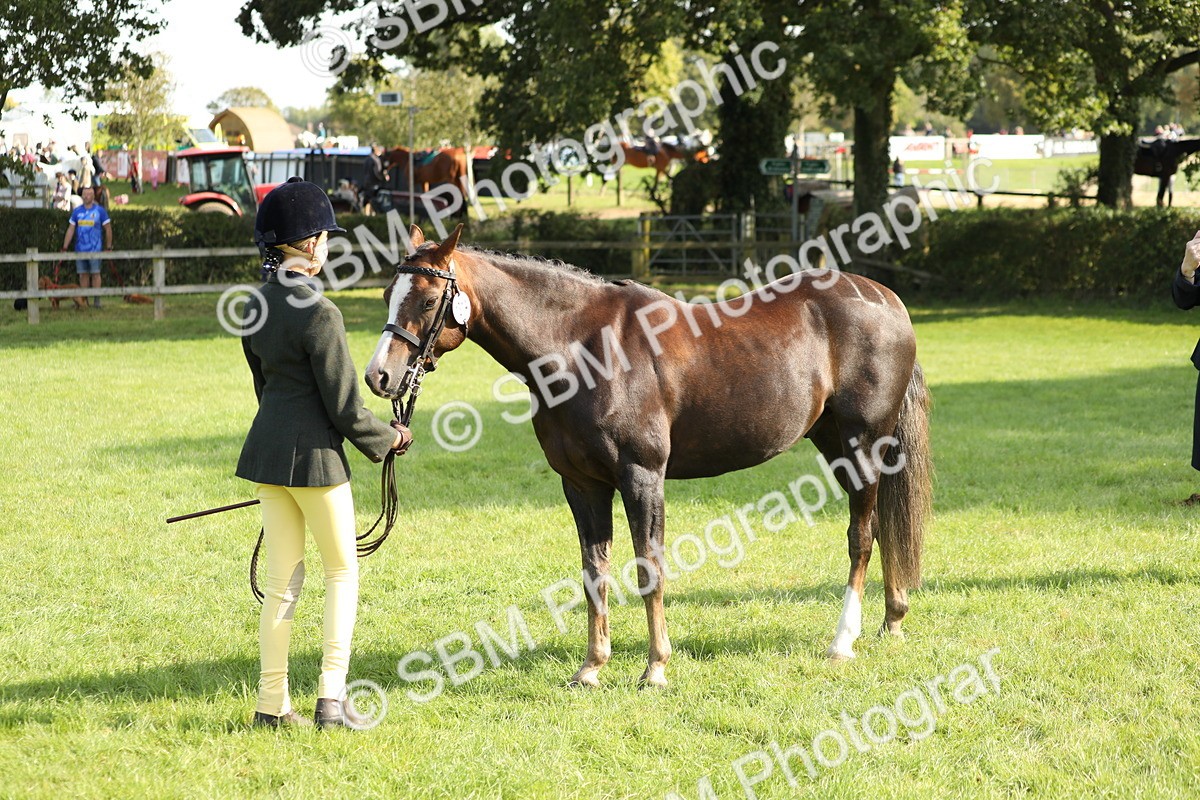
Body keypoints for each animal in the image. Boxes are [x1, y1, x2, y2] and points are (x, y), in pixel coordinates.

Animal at [365, 225, 932, 688]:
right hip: (836, 445)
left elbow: (648, 569)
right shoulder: (582, 484)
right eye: (389, 294)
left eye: (427, 298)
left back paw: (843, 641)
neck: (582, 348)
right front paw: (592, 667)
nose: (379, 376)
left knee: (862, 536)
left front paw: (655, 667)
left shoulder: (642, 478)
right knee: (883, 527)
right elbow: (594, 572)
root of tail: (886, 299)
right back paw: (892, 620)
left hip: (863, 444)